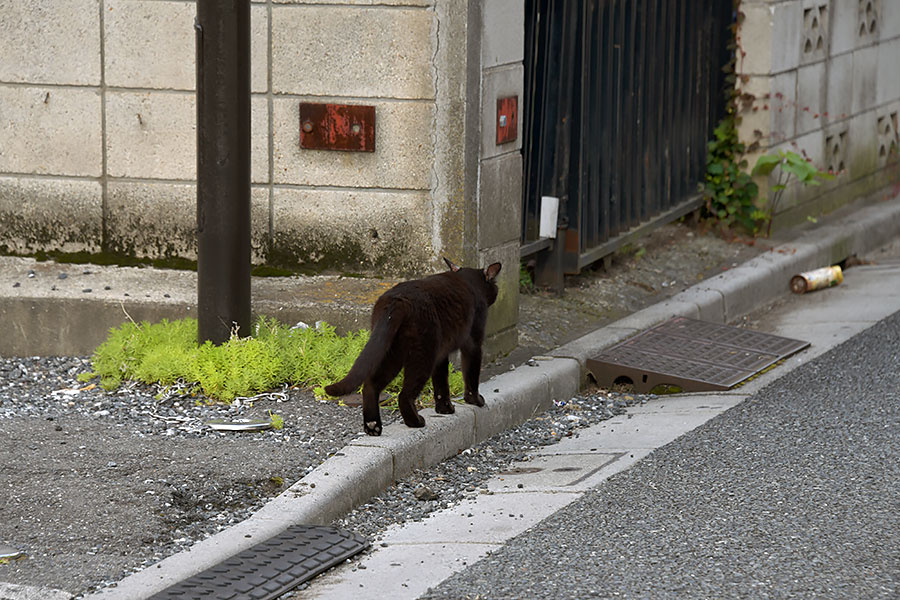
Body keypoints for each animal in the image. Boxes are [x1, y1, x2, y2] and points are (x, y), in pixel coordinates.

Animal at [326, 258, 502, 436]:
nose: (497, 290)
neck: (468, 281)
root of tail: (396, 300)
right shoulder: (473, 344)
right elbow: (471, 375)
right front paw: (475, 401)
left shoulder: (441, 353)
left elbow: (441, 383)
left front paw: (445, 409)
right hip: (422, 355)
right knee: (404, 395)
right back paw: (415, 422)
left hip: (392, 352)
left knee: (370, 385)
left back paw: (373, 426)